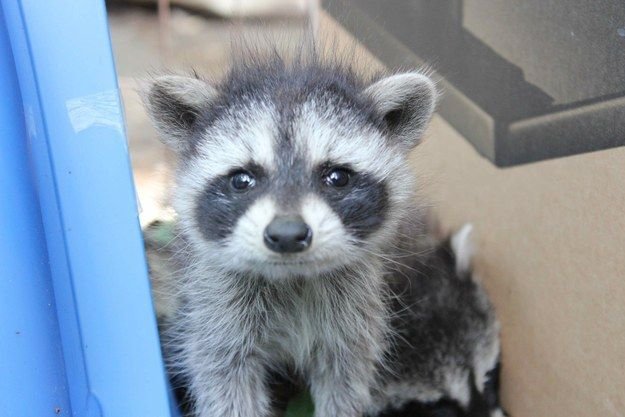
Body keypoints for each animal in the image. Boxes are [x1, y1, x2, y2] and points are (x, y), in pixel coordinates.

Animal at [141, 49, 436, 416]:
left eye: (337, 177)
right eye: (242, 180)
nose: (287, 234)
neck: (292, 278)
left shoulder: (355, 316)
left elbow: (346, 380)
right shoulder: (214, 311)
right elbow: (224, 380)